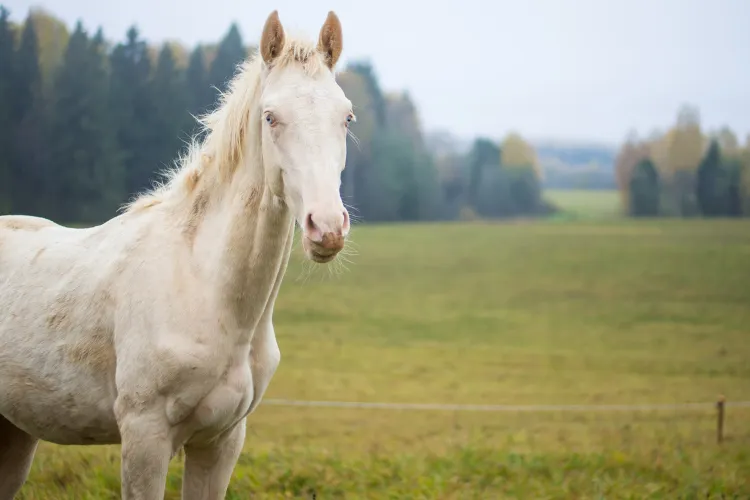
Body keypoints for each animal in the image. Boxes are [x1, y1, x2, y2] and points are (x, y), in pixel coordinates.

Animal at [0, 10, 353, 499]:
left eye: (346, 117)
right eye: (270, 117)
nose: (328, 228)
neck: (203, 285)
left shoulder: (220, 442)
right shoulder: (145, 438)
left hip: (15, 432)